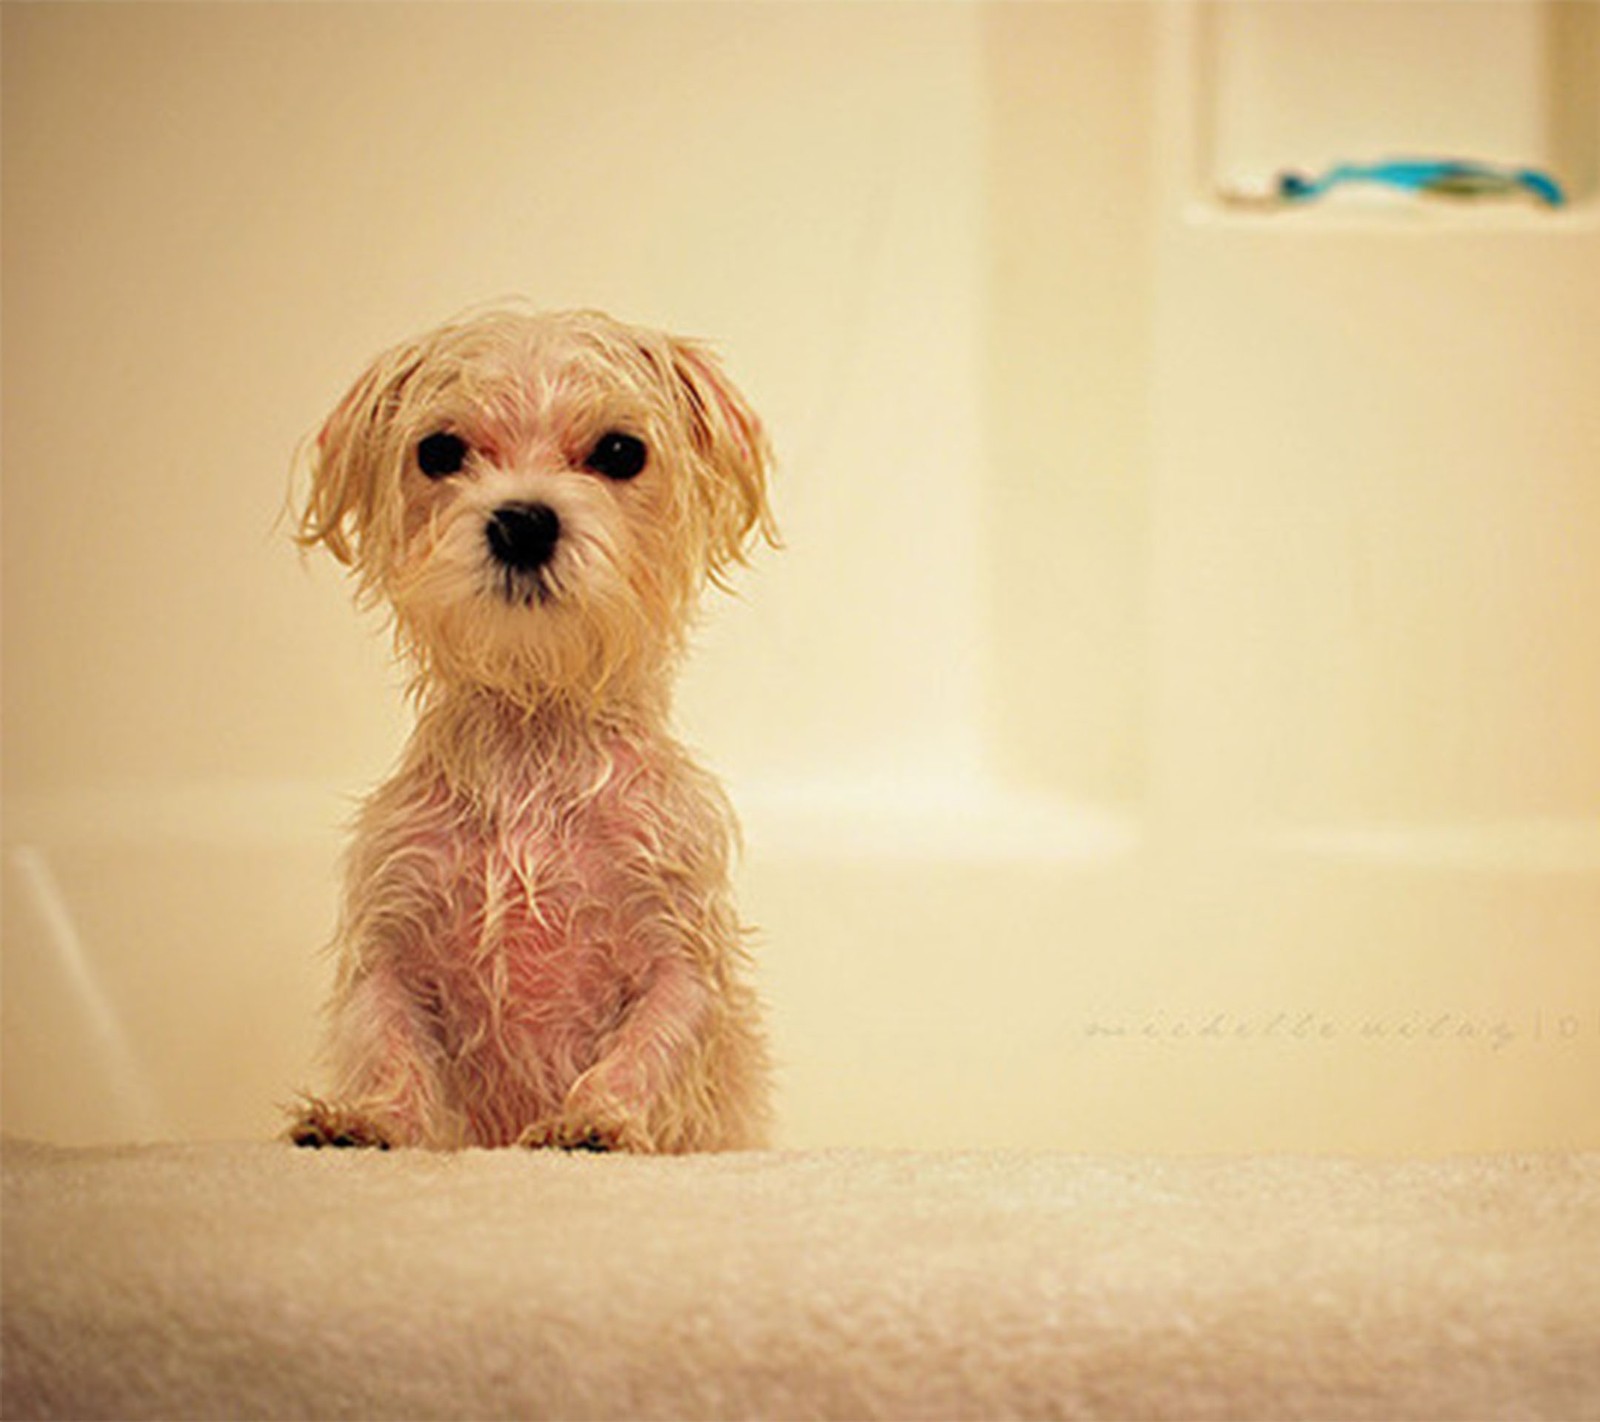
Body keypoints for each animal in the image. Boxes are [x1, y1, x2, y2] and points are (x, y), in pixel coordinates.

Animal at [286, 310, 774, 1151]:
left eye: (621, 452)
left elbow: (648, 1047)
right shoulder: (392, 941)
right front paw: (368, 1120)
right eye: (438, 451)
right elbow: (389, 1043)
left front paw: (593, 1120)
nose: (522, 521)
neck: (533, 744)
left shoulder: (680, 950)